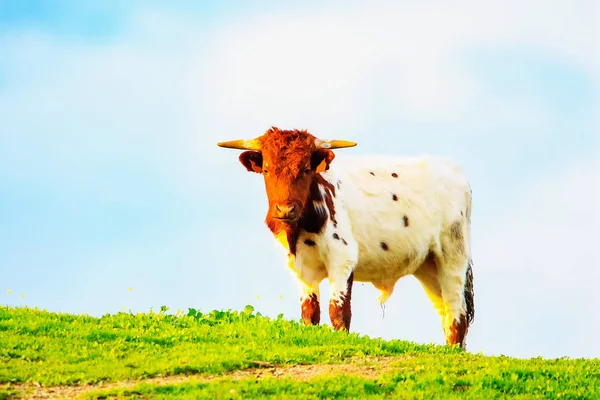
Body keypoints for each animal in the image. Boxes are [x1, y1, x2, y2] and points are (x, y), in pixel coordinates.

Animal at [218, 126, 476, 348]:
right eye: (267, 169)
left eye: (306, 168)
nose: (285, 210)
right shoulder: (300, 268)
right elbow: (310, 313)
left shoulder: (342, 258)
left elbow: (339, 312)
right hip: (428, 267)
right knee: (444, 311)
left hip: (453, 257)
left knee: (457, 312)